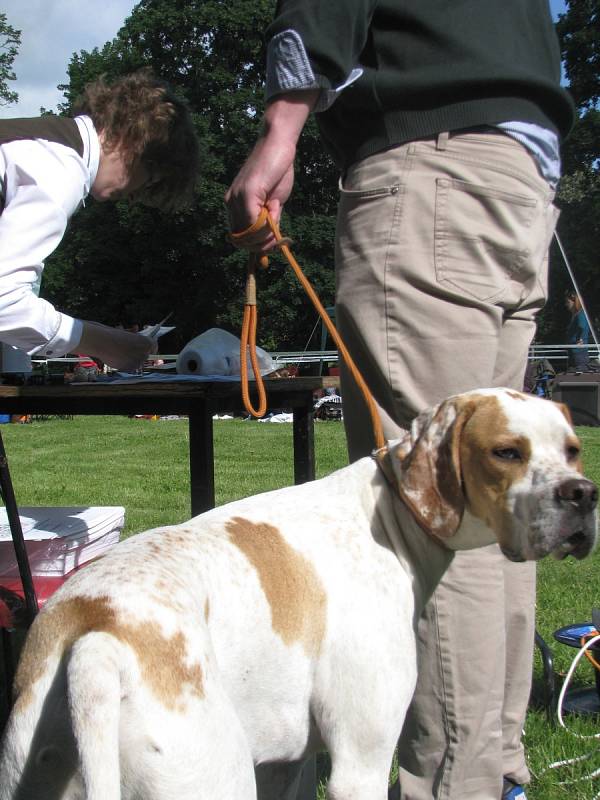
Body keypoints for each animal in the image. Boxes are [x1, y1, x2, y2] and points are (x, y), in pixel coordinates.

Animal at [0, 390, 596, 800]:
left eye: (573, 450)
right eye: (506, 452)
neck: (388, 517)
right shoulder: (359, 763)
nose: (583, 495)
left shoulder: (286, 765)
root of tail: (99, 636)